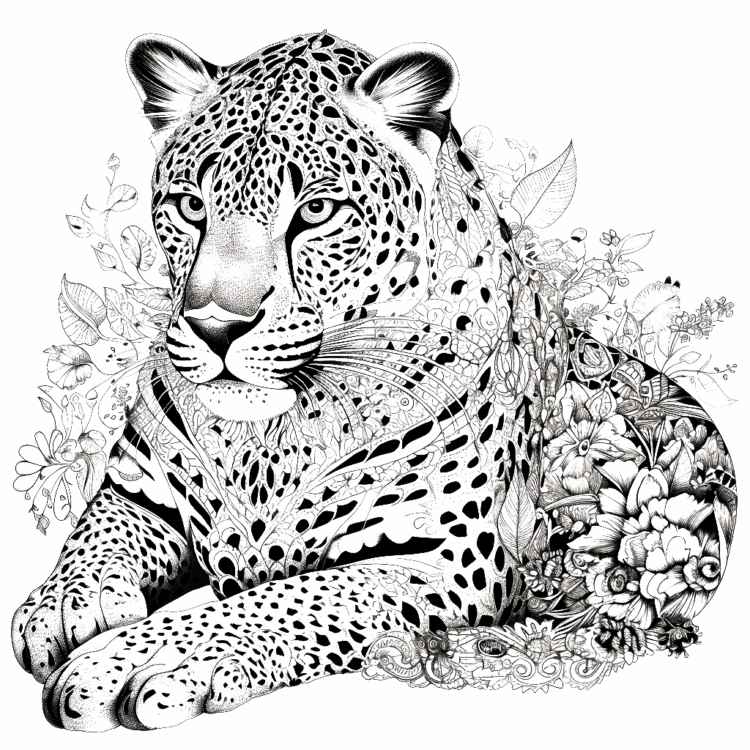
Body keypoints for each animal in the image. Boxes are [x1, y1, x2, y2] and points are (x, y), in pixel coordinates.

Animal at [11, 30, 737, 730]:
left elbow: (294, 596)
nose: (216, 326)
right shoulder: (135, 490)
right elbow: (95, 536)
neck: (263, 438)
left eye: (316, 213)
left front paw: (142, 659)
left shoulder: (452, 556)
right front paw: (65, 604)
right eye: (191, 207)